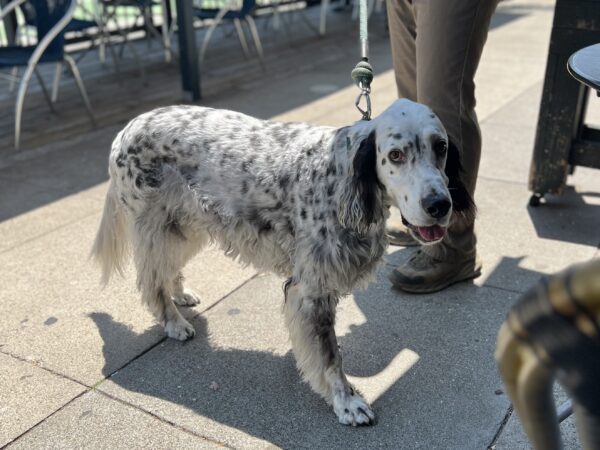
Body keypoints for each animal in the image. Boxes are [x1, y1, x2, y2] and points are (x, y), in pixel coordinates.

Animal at [90, 98, 474, 426]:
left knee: (168, 270)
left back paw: (181, 294)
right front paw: (346, 402)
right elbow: (330, 357)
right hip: (156, 226)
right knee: (151, 280)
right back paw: (173, 322)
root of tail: (127, 130)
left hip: (186, 225)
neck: (339, 179)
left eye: (441, 147)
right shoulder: (312, 289)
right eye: (395, 155)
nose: (439, 205)